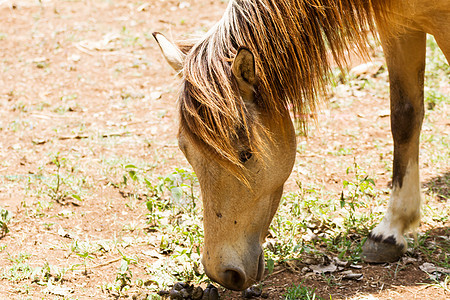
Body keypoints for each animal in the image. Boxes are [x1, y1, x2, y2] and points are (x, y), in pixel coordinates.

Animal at [153, 0, 448, 292]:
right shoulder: (398, 24)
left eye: (246, 155)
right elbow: (404, 117)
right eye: (186, 152)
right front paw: (391, 230)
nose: (224, 273)